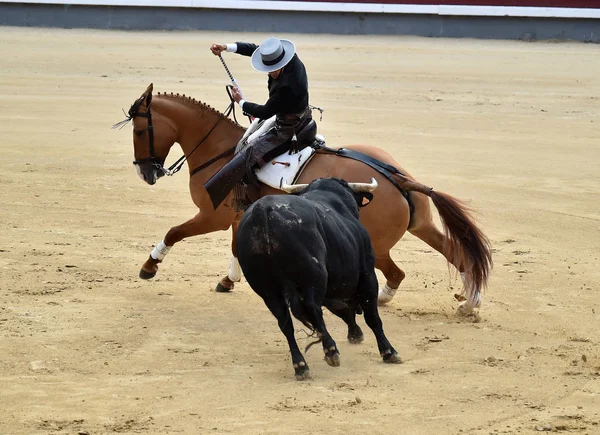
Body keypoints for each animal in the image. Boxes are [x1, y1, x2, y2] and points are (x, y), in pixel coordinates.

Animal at [123, 82, 492, 314]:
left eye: (139, 131)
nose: (146, 173)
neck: (223, 149)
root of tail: (397, 178)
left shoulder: (212, 216)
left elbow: (175, 231)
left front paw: (149, 266)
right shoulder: (238, 216)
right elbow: (235, 249)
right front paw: (229, 280)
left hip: (375, 246)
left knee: (396, 274)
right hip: (422, 226)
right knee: (458, 257)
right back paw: (468, 303)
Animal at [237, 178, 400, 382]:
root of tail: (262, 210)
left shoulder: (333, 289)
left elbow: (345, 312)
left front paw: (355, 334)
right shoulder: (367, 274)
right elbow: (372, 317)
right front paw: (388, 351)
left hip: (268, 291)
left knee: (285, 322)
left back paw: (300, 365)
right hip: (314, 277)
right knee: (313, 309)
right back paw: (330, 350)